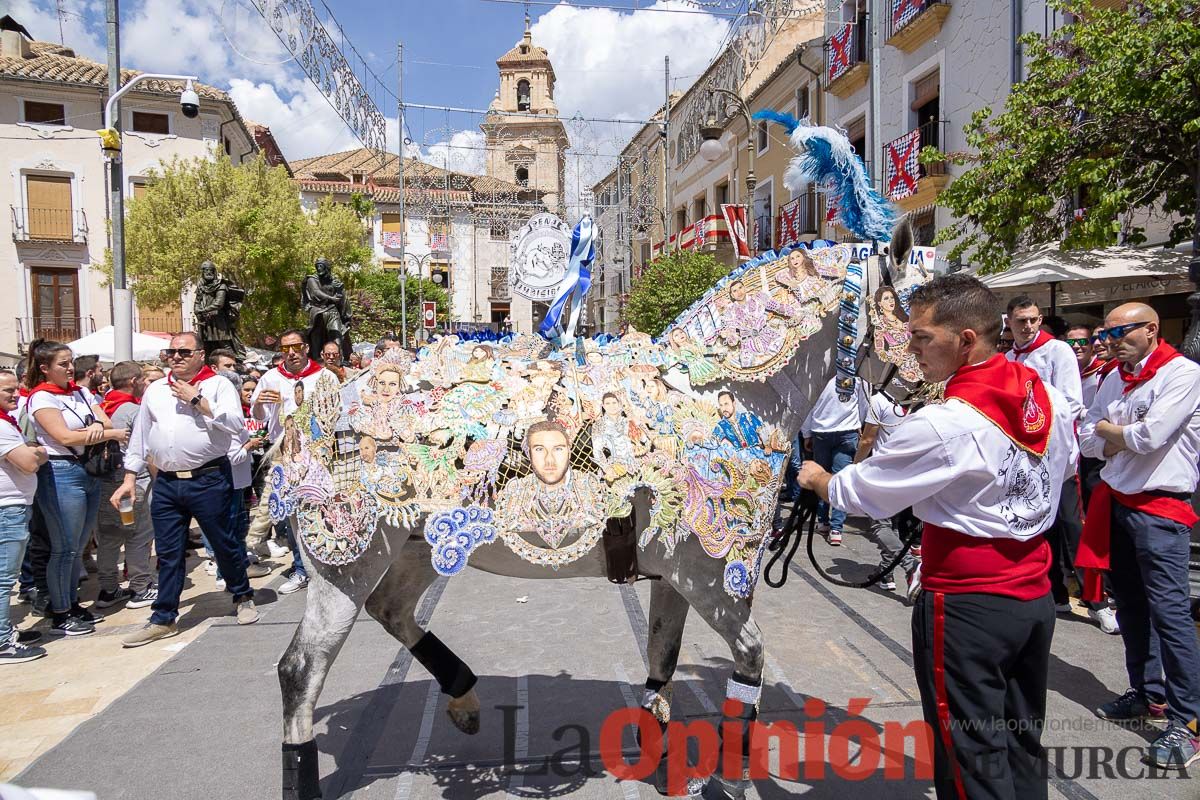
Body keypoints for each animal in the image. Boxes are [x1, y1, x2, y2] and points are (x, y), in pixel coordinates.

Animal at [274, 113, 926, 800]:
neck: (720, 394)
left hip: (413, 547)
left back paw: (464, 696)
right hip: (345, 563)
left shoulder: (675, 575)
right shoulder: (712, 580)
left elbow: (662, 659)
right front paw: (731, 775)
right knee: (301, 670)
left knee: (392, 610)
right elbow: (749, 661)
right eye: (922, 304)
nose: (926, 393)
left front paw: (656, 750)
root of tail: (311, 409)